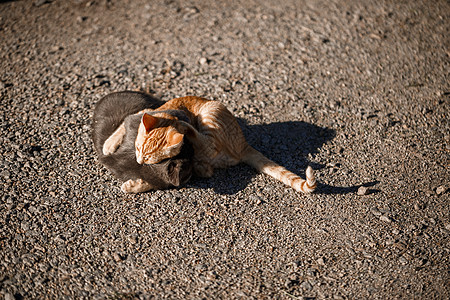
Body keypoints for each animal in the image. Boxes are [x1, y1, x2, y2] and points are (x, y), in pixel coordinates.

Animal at [103, 96, 318, 195]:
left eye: (150, 159)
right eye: (138, 149)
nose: (139, 160)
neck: (166, 115)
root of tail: (243, 143)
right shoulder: (143, 111)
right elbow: (121, 127)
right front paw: (109, 144)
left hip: (209, 114)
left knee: (207, 145)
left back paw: (187, 128)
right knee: (206, 167)